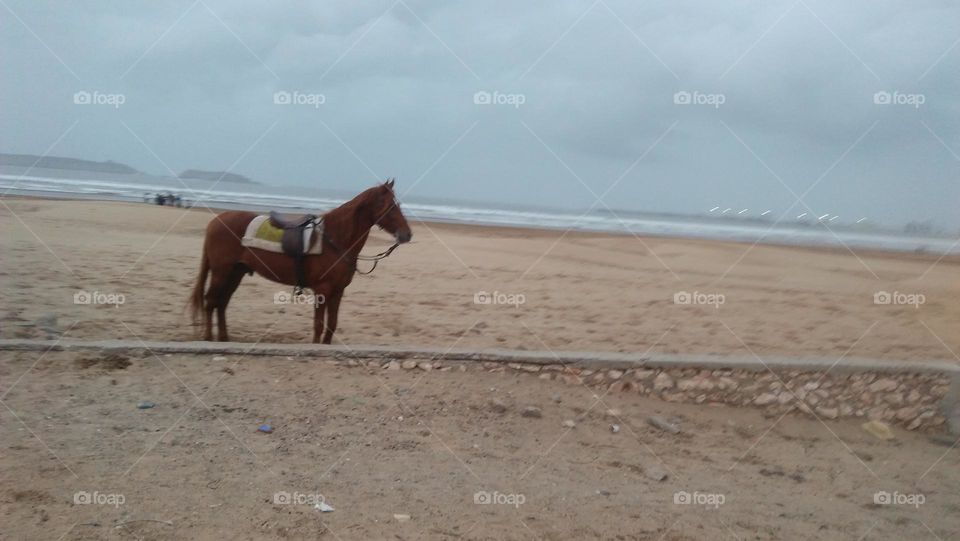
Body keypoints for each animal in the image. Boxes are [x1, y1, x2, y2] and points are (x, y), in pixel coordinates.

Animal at [189, 180, 410, 342]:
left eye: (398, 205)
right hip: (221, 272)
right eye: (390, 207)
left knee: (221, 303)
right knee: (211, 301)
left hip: (235, 273)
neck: (334, 239)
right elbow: (319, 325)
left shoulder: (338, 292)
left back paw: (224, 338)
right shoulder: (323, 290)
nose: (407, 234)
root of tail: (215, 221)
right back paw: (209, 338)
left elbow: (332, 325)